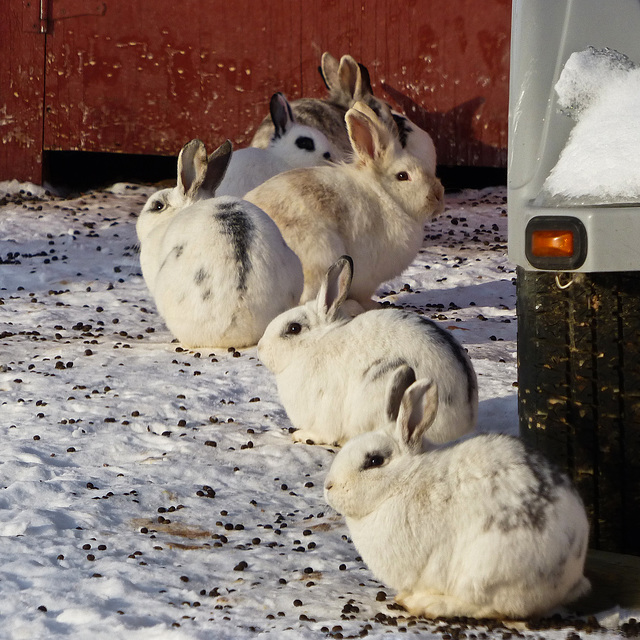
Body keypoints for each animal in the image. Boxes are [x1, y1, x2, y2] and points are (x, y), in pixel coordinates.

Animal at [256, 255, 476, 444]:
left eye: (294, 328)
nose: (260, 349)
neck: (318, 342)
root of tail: (462, 426)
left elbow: (324, 432)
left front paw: (302, 435)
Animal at [324, 364, 592, 620]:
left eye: (374, 461)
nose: (329, 487)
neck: (404, 480)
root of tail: (571, 573)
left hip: (485, 570)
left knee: (490, 607)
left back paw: (427, 604)